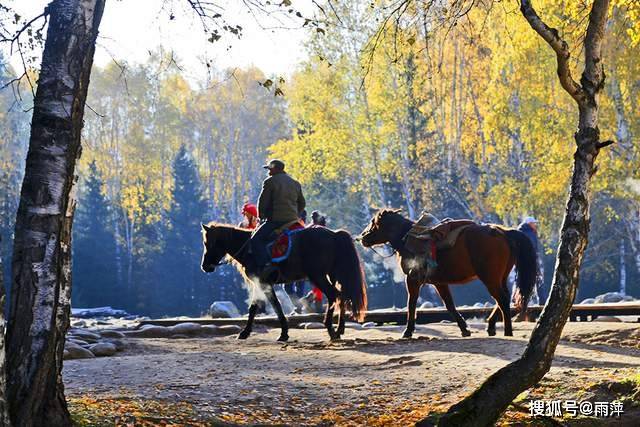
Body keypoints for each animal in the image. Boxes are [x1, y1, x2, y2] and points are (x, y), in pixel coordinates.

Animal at [201, 224, 370, 342]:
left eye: (207, 243)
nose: (205, 266)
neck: (247, 248)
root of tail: (334, 234)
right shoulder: (260, 284)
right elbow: (257, 306)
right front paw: (247, 332)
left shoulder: (263, 283)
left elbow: (273, 305)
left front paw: (282, 333)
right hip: (333, 275)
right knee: (341, 296)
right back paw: (340, 329)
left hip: (318, 276)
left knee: (333, 295)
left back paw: (330, 329)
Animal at [358, 210, 536, 338]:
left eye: (373, 223)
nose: (362, 238)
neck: (406, 238)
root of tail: (502, 232)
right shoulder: (439, 282)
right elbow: (449, 304)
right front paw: (464, 329)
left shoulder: (413, 279)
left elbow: (412, 304)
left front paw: (408, 331)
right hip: (500, 277)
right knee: (503, 298)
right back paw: (492, 326)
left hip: (489, 278)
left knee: (502, 299)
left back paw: (507, 331)